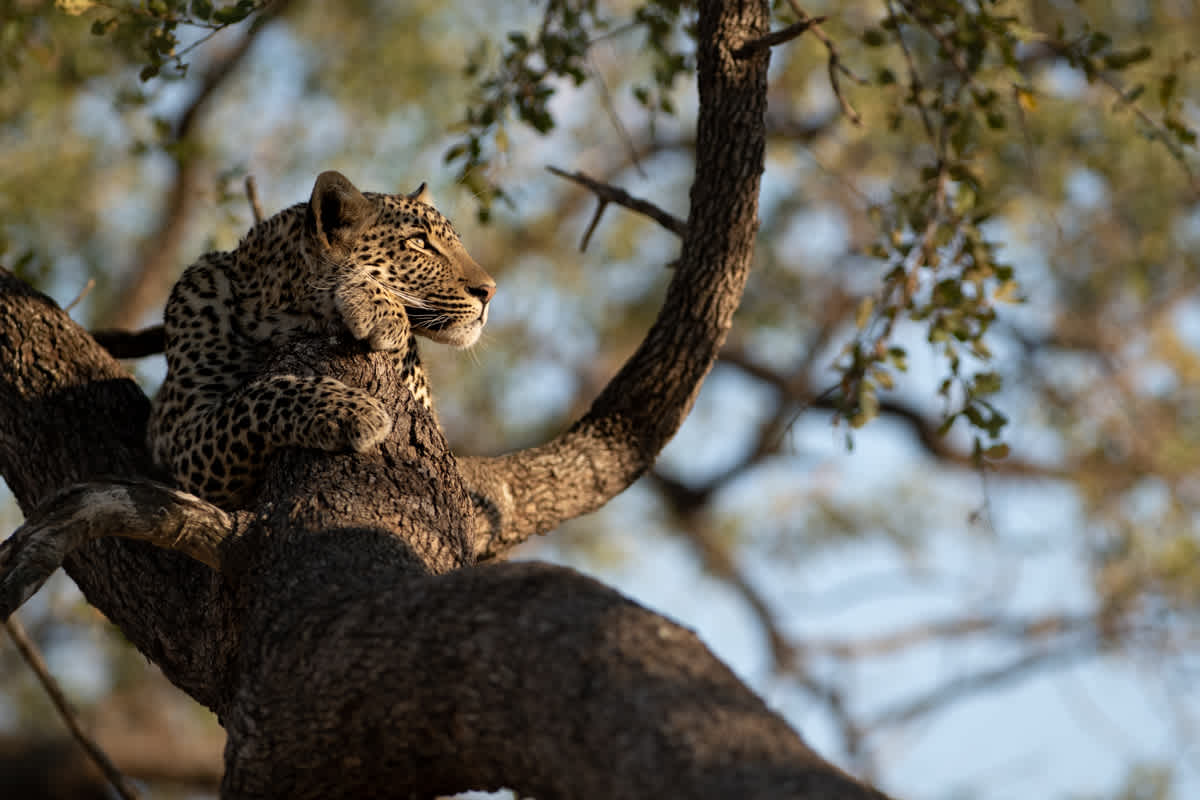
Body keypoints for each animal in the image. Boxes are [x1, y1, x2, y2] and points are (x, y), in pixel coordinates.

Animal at [150, 170, 496, 510]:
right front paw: (353, 411)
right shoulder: (178, 436)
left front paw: (373, 303)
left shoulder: (431, 428)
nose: (489, 291)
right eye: (419, 242)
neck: (280, 320)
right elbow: (254, 398)